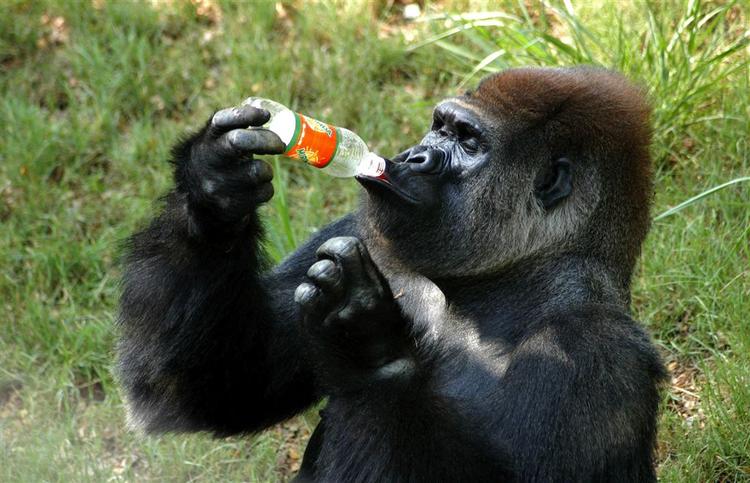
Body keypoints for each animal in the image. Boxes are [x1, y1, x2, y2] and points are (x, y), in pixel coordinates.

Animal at [116, 66, 666, 482]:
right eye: (439, 127)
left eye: (469, 142)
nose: (413, 156)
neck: (490, 288)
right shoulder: (358, 228)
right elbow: (219, 386)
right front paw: (213, 188)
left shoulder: (590, 351)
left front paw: (366, 345)